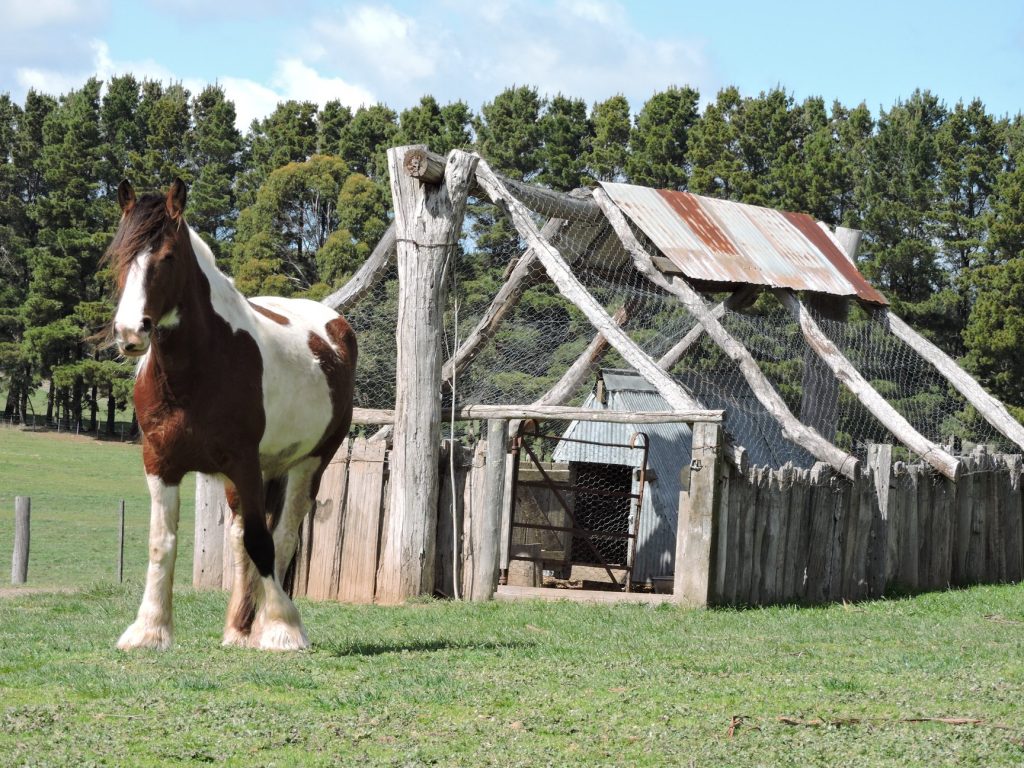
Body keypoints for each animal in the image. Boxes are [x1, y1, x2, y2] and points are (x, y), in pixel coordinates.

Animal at [108, 179, 356, 651]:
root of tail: (334, 325)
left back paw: (268, 626)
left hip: (308, 464)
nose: (130, 332)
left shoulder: (243, 461)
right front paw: (149, 630)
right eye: (117, 256)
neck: (197, 371)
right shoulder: (160, 463)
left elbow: (263, 542)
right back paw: (239, 629)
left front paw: (284, 628)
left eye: (167, 257)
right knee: (242, 540)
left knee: (282, 535)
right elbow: (162, 542)